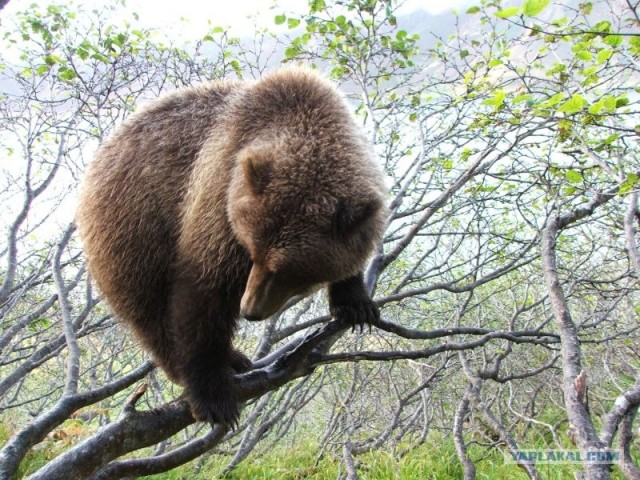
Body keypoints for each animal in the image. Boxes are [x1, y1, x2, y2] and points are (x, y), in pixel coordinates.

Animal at [75, 67, 384, 428]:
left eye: (286, 270)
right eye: (252, 252)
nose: (250, 309)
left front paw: (356, 303)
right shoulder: (219, 190)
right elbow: (204, 291)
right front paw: (213, 397)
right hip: (134, 224)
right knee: (149, 309)